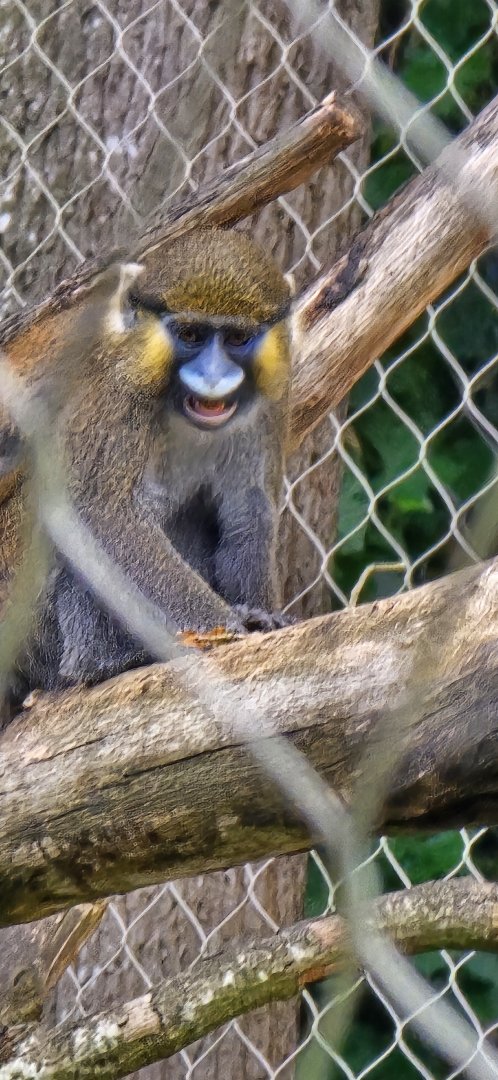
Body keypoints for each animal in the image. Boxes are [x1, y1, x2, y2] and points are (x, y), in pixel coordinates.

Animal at [0, 228, 292, 697]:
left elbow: (247, 514)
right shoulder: (123, 393)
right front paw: (227, 627)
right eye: (190, 334)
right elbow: (101, 514)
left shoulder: (272, 404)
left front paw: (261, 613)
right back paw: (107, 661)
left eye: (235, 339)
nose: (213, 377)